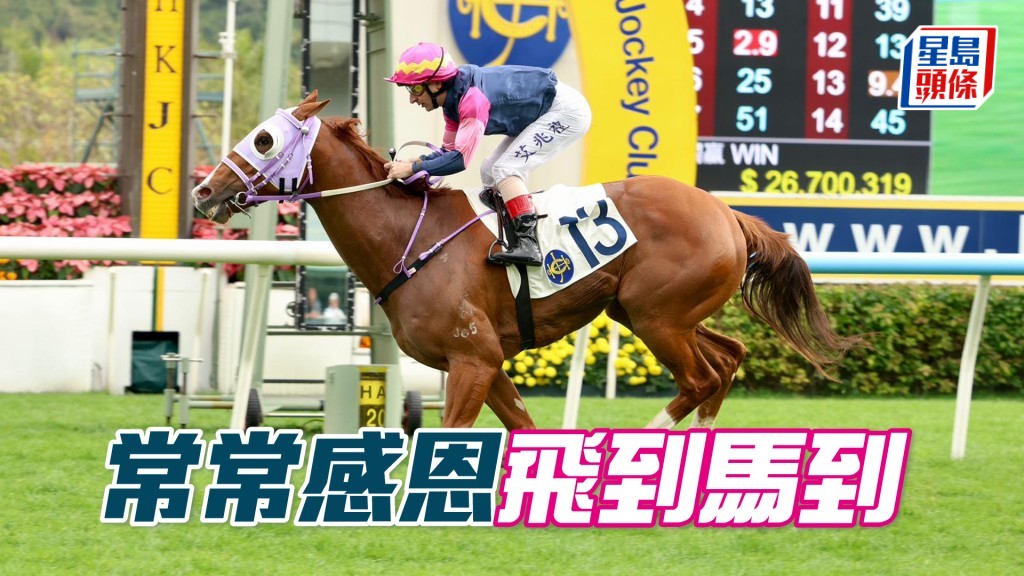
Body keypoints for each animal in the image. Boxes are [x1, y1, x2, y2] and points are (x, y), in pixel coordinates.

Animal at [192, 91, 860, 430]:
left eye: (263, 140)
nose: (204, 191)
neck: (408, 240)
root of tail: (727, 213)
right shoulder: (484, 363)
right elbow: (520, 425)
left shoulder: (473, 357)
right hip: (651, 312)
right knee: (727, 360)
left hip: (657, 316)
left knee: (699, 379)